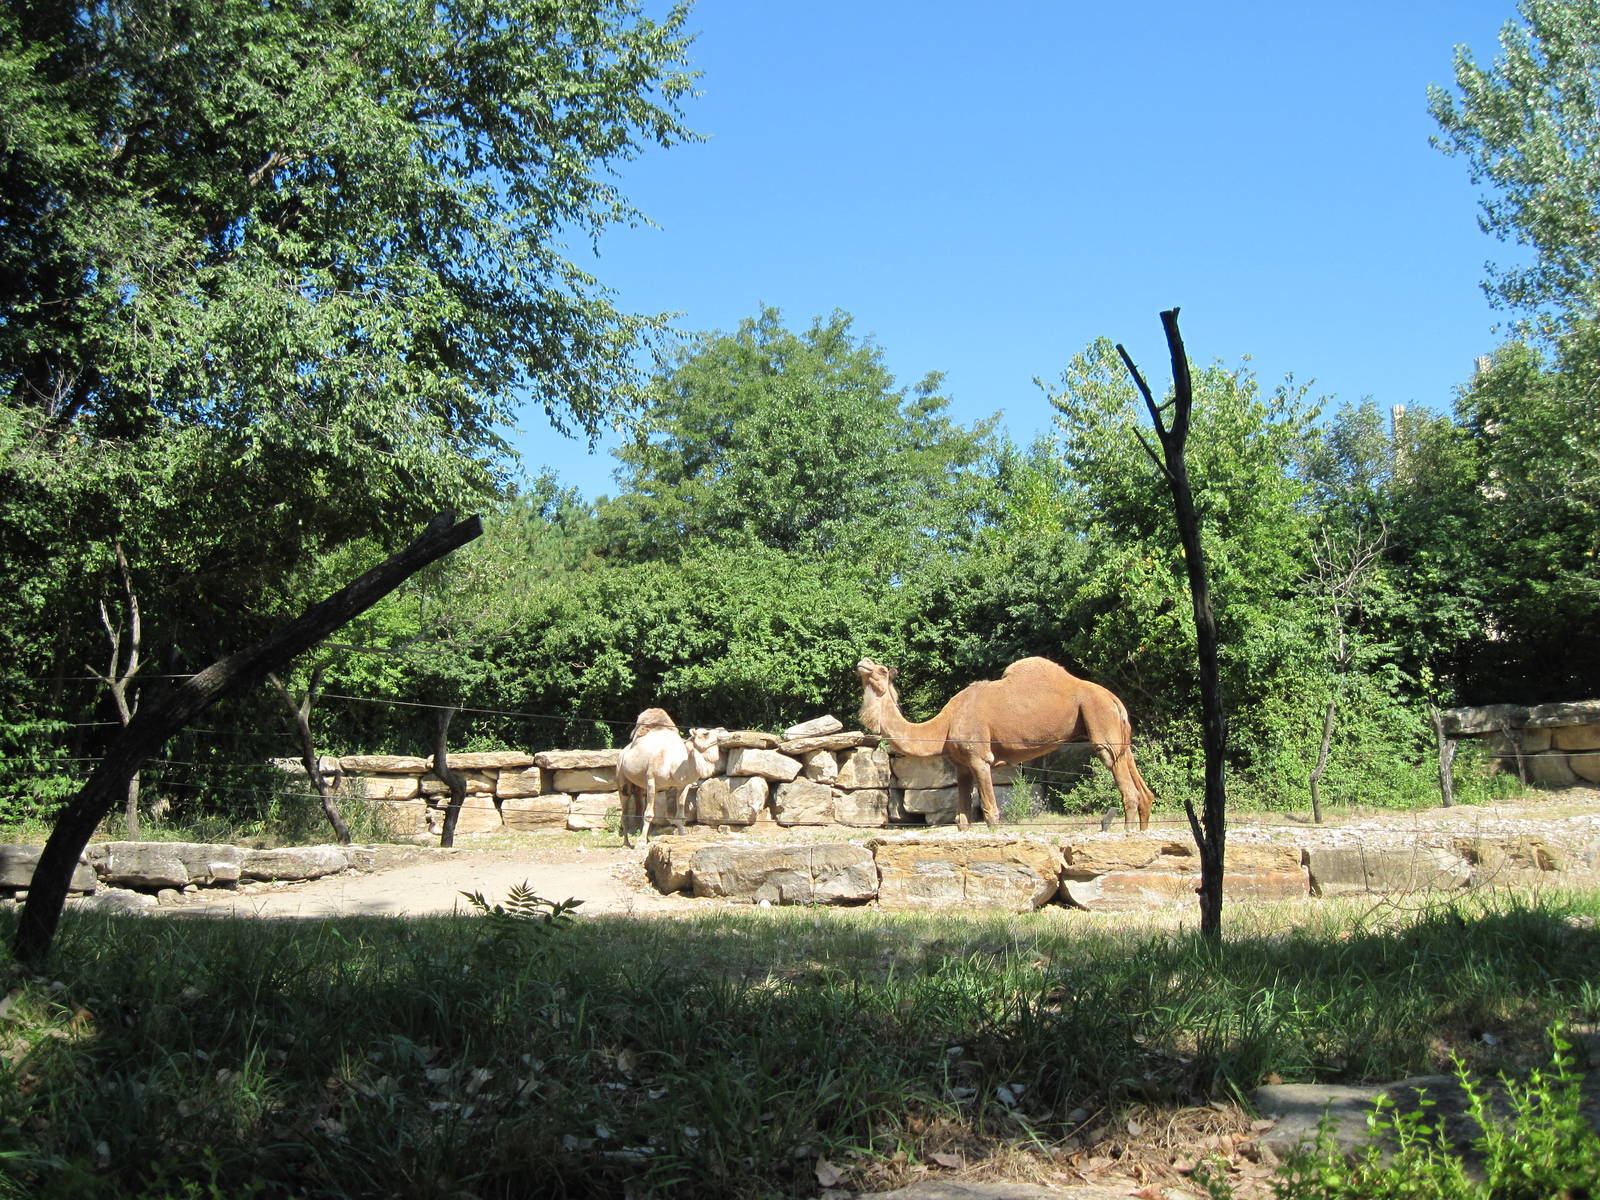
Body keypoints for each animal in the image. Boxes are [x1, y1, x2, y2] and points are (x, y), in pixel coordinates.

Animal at [616, 712, 726, 848]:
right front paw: (640, 842)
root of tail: (623, 752)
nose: (723, 730)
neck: (674, 765)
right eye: (706, 733)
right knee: (624, 811)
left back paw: (647, 839)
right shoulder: (651, 781)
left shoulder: (683, 785)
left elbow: (680, 814)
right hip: (622, 778)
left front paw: (683, 836)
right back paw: (627, 843)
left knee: (638, 805)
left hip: (639, 787)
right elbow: (648, 814)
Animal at [855, 656, 1155, 832]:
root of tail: (1113, 698)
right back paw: (1141, 831)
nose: (863, 662)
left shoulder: (979, 758)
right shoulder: (961, 765)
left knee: (1123, 779)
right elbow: (961, 820)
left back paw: (1127, 833)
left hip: (1098, 717)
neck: (944, 725)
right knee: (1136, 775)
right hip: (1118, 729)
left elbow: (990, 812)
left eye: (881, 669)